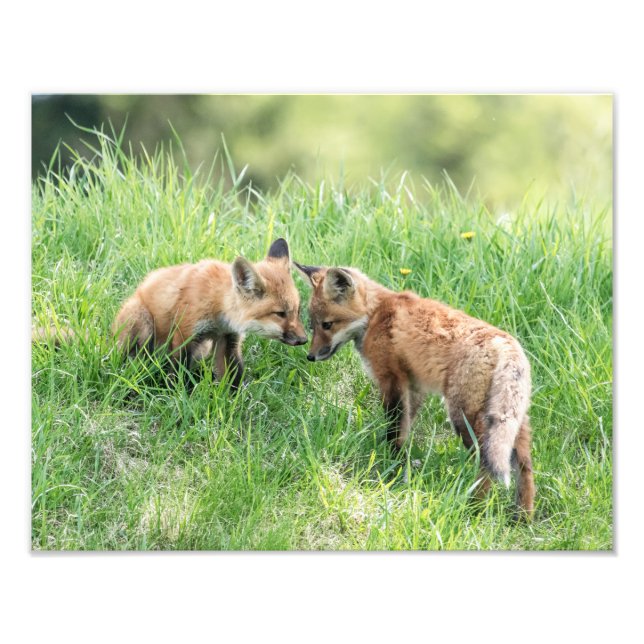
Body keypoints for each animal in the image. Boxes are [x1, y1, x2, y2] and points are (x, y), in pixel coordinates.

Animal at [110, 238, 307, 388]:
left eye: (297, 311)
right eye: (280, 313)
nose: (304, 339)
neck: (217, 304)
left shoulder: (229, 339)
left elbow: (233, 378)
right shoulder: (185, 335)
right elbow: (178, 373)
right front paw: (177, 396)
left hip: (202, 349)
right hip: (142, 322)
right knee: (135, 359)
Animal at [295, 262, 535, 517]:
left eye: (327, 324)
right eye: (312, 325)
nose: (310, 356)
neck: (375, 315)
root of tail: (507, 345)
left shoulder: (392, 380)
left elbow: (394, 429)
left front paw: (390, 465)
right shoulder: (414, 388)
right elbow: (405, 429)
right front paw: (401, 464)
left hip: (463, 417)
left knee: (486, 462)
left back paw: (474, 508)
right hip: (511, 422)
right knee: (525, 466)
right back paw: (523, 516)